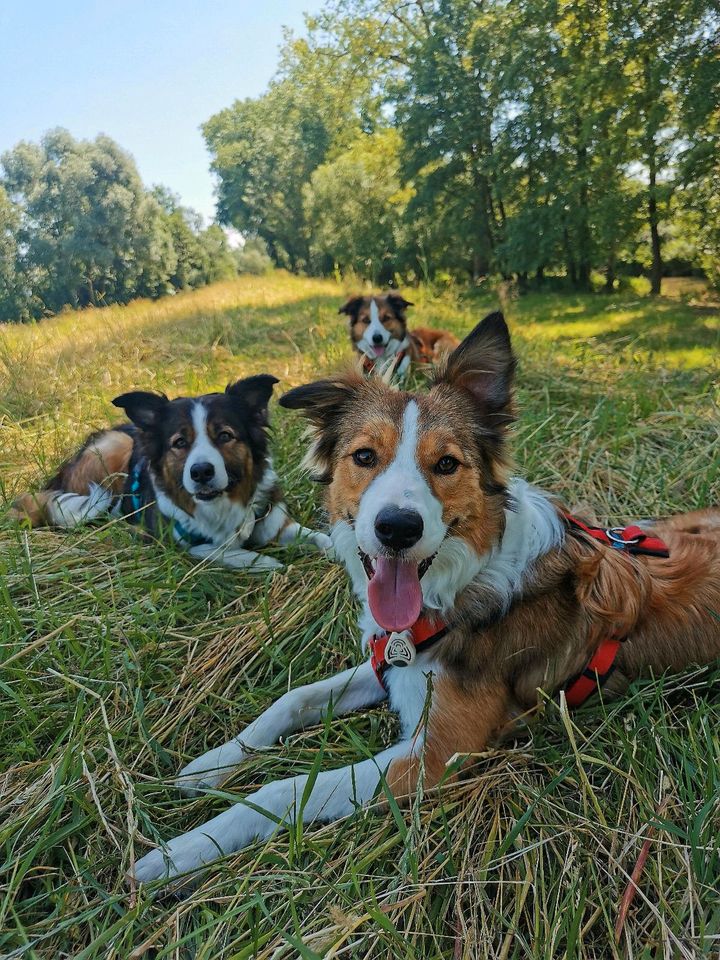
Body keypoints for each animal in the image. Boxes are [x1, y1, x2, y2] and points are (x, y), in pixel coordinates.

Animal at [11, 376, 332, 568]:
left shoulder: (277, 523)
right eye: (179, 442)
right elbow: (232, 552)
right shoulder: (182, 543)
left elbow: (323, 538)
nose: (201, 472)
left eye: (224, 436)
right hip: (113, 447)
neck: (222, 505)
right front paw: (272, 564)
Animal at [129, 316, 720, 884]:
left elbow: (286, 788)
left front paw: (179, 853)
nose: (397, 528)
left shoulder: (435, 755)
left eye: (447, 464)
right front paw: (211, 766)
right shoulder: (392, 659)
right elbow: (291, 700)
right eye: (364, 456)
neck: (459, 585)